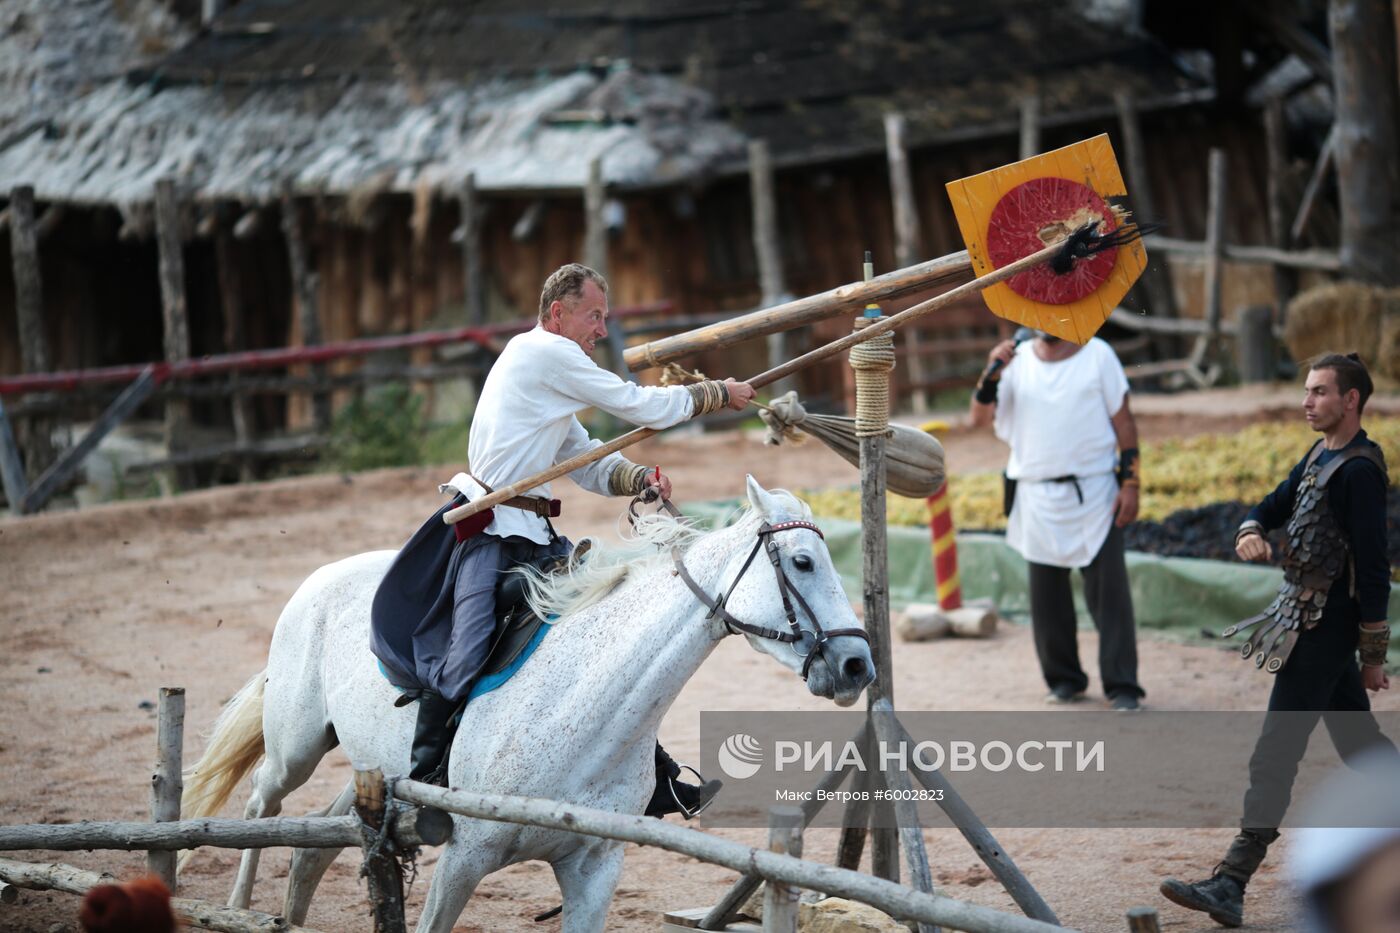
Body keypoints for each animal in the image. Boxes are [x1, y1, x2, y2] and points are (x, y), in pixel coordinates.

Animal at [179, 479, 868, 930]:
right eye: (803, 562)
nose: (858, 664)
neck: (583, 713)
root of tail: (320, 578)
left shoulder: (594, 870)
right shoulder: (463, 859)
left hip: (373, 770)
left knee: (310, 847)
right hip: (295, 746)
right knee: (261, 805)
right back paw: (235, 907)